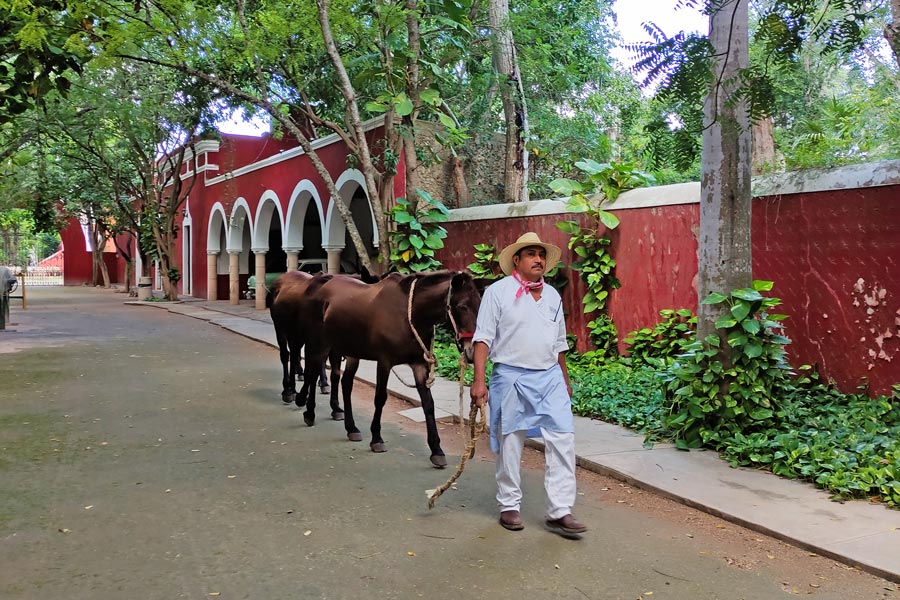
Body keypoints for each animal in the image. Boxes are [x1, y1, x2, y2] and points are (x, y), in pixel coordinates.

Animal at [284, 272, 482, 468]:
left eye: (480, 304)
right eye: (462, 306)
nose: (471, 351)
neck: (409, 314)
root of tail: (324, 283)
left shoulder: (419, 365)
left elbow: (428, 404)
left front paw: (436, 450)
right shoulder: (384, 362)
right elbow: (380, 398)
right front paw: (377, 439)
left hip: (350, 352)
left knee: (345, 384)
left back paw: (351, 427)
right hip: (319, 344)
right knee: (312, 373)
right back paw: (308, 411)